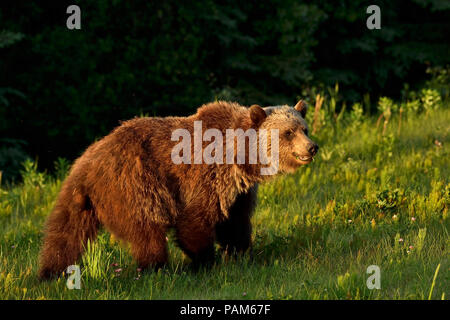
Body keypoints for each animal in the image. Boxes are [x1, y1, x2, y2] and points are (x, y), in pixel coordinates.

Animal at [39, 99, 320, 278]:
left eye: (304, 128)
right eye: (288, 132)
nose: (312, 147)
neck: (241, 157)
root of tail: (87, 164)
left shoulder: (238, 191)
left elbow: (235, 222)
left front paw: (240, 254)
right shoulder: (207, 173)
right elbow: (195, 220)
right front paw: (204, 261)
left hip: (79, 198)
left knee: (65, 233)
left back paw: (50, 272)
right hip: (134, 184)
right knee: (147, 231)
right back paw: (156, 268)